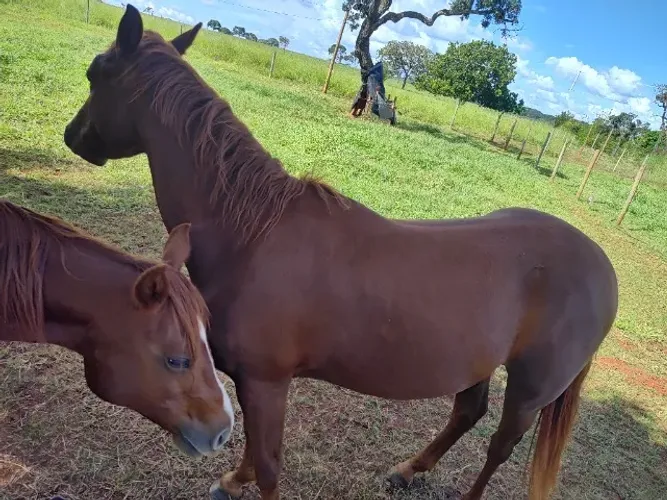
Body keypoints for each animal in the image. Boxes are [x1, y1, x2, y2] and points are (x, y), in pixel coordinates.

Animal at [63, 6, 618, 500]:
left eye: (94, 73)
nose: (73, 137)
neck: (251, 234)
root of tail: (602, 268)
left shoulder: (267, 381)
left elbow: (270, 466)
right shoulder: (252, 382)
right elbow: (254, 452)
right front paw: (232, 481)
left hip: (529, 390)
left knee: (499, 447)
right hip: (479, 364)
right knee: (467, 414)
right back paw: (407, 471)